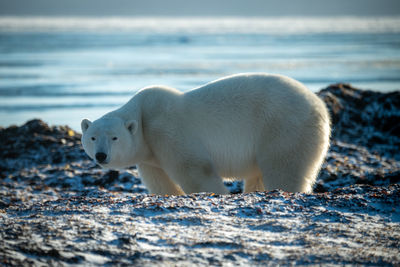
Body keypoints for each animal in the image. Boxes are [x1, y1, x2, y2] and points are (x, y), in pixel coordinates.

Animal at [81, 73, 332, 195]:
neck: (143, 114)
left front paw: (216, 193)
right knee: (258, 175)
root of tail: (320, 107)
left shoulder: (166, 129)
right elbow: (158, 181)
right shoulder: (148, 153)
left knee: (283, 168)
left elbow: (194, 168)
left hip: (282, 127)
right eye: (92, 137)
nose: (101, 155)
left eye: (114, 137)